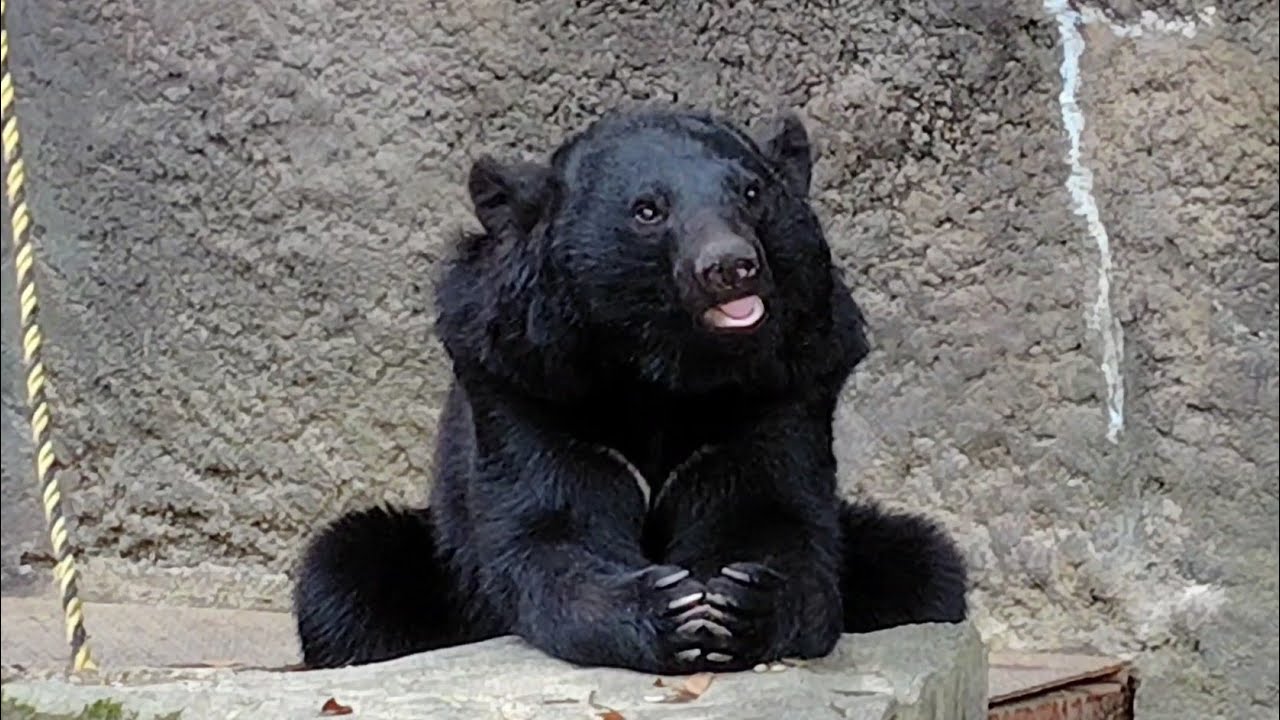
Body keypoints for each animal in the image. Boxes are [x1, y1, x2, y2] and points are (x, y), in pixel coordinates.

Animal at [291, 106, 968, 675]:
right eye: (648, 210)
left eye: (751, 193)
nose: (730, 266)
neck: (665, 368)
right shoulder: (528, 385)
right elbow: (552, 528)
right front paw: (667, 609)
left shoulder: (783, 385)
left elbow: (775, 516)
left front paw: (740, 604)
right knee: (344, 581)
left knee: (927, 567)